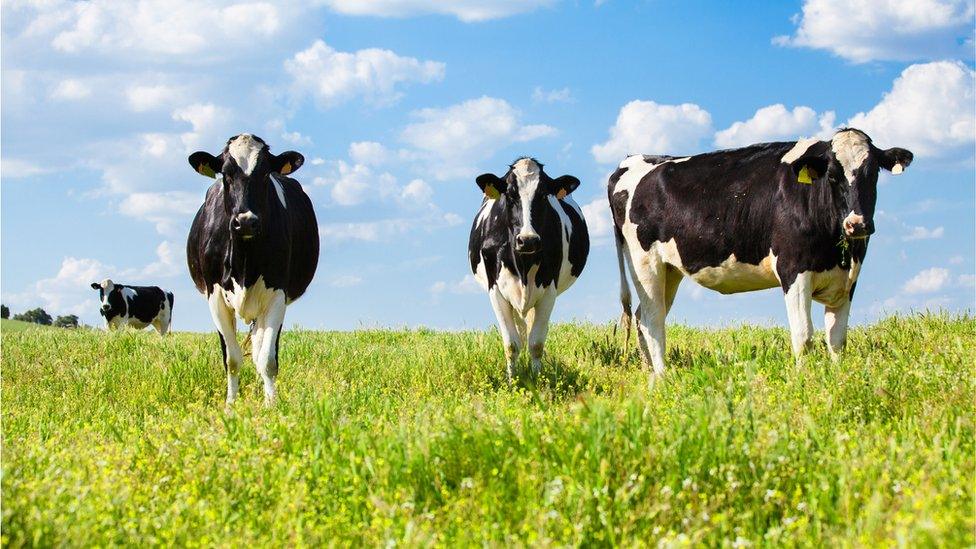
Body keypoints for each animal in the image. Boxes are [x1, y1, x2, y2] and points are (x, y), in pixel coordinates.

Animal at [185, 135, 318, 404]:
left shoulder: (277, 295)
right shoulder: (215, 296)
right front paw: (230, 404)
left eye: (266, 173)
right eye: (225, 174)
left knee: (259, 349)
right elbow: (232, 359)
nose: (245, 221)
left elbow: (267, 360)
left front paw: (271, 404)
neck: (244, 261)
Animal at [468, 156, 592, 378]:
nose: (528, 240)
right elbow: (511, 344)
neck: (523, 265)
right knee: (520, 331)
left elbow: (536, 343)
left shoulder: (549, 290)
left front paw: (537, 378)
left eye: (543, 195)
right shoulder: (496, 291)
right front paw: (512, 380)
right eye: (509, 195)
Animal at [608, 128, 916, 376]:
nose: (857, 223)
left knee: (642, 316)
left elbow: (837, 339)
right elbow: (804, 336)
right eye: (832, 175)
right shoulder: (793, 270)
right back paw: (662, 377)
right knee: (652, 320)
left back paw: (648, 372)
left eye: (872, 172)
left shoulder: (848, 280)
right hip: (645, 263)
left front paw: (839, 380)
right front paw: (805, 382)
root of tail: (632, 160)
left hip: (670, 271)